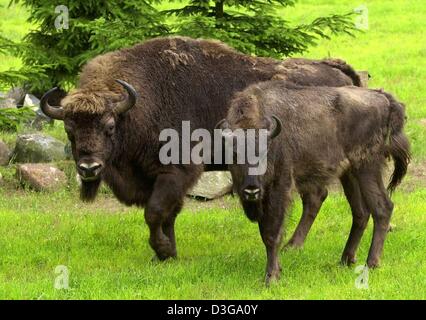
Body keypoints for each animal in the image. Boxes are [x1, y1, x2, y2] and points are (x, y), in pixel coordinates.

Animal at [39, 35, 360, 264]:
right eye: (69, 130)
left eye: (108, 126)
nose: (89, 168)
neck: (138, 106)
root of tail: (338, 72)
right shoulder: (156, 178)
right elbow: (167, 214)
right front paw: (166, 255)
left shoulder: (176, 172)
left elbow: (155, 212)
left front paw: (164, 251)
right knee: (315, 197)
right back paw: (295, 245)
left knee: (314, 198)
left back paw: (293, 245)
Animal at [218, 81, 412, 284]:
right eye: (235, 154)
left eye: (264, 153)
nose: (251, 191)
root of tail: (383, 98)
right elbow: (265, 233)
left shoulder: (279, 190)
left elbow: (272, 234)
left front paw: (271, 277)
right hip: (349, 174)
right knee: (361, 212)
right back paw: (345, 259)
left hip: (367, 167)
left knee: (382, 208)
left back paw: (371, 263)